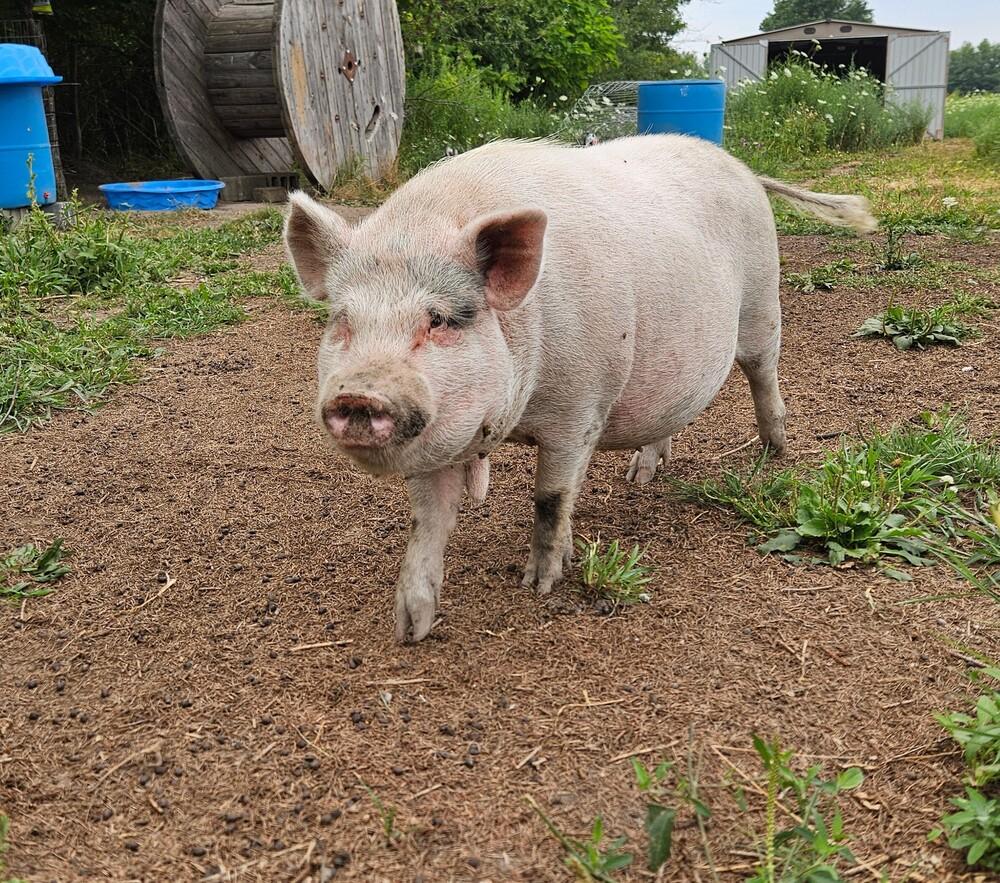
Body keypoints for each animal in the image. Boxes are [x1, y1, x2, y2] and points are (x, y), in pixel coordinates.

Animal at [284, 134, 876, 643]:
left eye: (442, 319)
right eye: (342, 321)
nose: (358, 393)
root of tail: (742, 168)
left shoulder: (578, 408)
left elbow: (551, 497)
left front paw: (541, 584)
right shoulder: (442, 438)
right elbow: (426, 522)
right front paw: (410, 629)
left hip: (762, 305)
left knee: (763, 376)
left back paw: (774, 454)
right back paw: (641, 477)